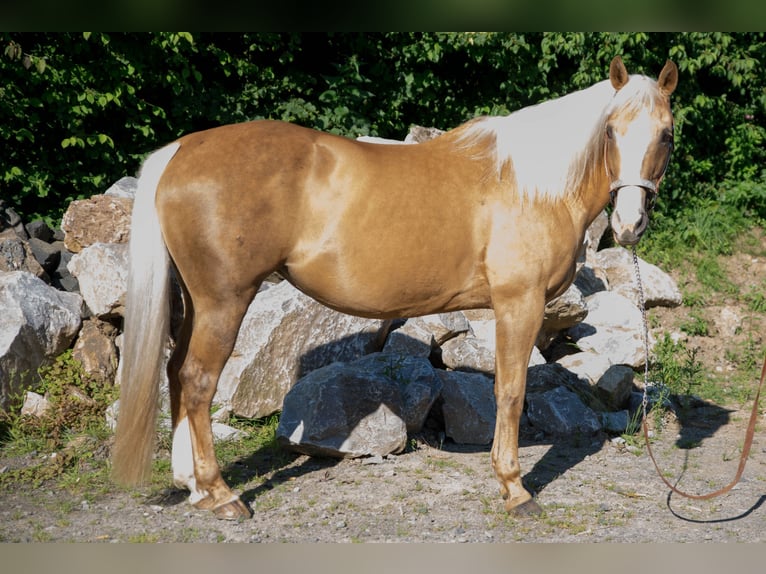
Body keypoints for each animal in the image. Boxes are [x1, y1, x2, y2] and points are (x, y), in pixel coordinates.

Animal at [112, 56, 680, 520]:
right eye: (611, 131)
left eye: (666, 135)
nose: (629, 225)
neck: (530, 185)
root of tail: (180, 151)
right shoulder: (519, 303)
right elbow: (511, 391)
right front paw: (515, 490)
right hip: (224, 301)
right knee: (198, 381)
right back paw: (220, 494)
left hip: (195, 302)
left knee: (176, 374)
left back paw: (192, 487)